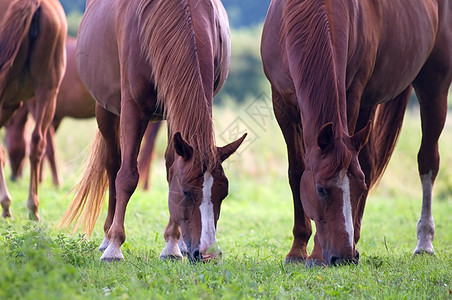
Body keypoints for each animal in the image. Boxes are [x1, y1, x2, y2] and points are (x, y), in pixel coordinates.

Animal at [4, 36, 162, 189]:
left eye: (6, 144)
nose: (14, 177)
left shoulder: (40, 109)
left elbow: (49, 148)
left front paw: (55, 182)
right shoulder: (55, 118)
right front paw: (42, 179)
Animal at [60, 0, 245, 262]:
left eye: (224, 193)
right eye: (186, 193)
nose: (208, 254)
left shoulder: (175, 110)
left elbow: (171, 169)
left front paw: (171, 245)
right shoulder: (132, 109)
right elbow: (126, 176)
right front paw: (115, 247)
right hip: (105, 111)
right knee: (112, 166)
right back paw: (107, 238)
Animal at [262, 0, 452, 268]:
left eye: (359, 189)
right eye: (320, 189)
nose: (344, 257)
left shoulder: (352, 97)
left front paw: (316, 254)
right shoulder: (281, 105)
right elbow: (296, 172)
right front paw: (297, 250)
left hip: (434, 86)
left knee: (427, 162)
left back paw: (423, 242)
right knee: (369, 163)